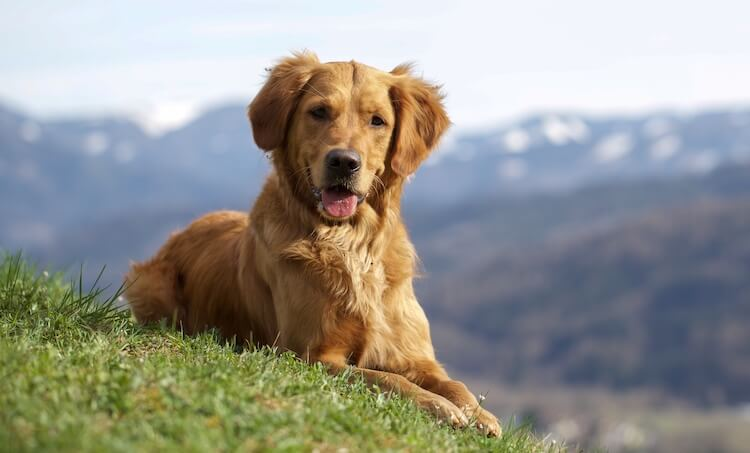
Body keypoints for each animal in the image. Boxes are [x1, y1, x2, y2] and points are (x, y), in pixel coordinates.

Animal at [125, 51, 500, 436]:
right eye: (319, 111)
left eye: (377, 121)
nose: (344, 161)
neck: (351, 244)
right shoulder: (310, 355)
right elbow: (385, 379)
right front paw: (439, 407)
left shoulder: (414, 355)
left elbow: (455, 384)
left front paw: (479, 414)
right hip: (149, 283)